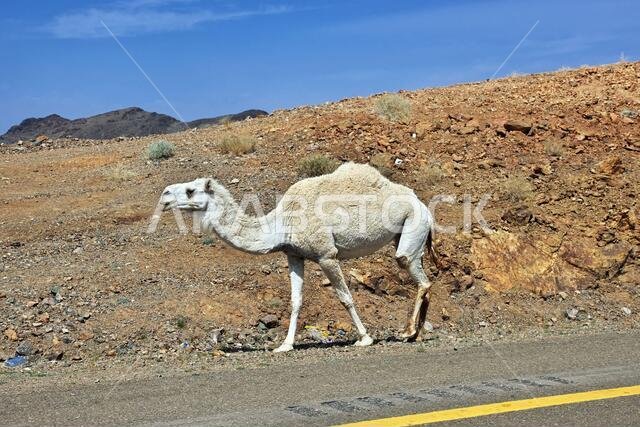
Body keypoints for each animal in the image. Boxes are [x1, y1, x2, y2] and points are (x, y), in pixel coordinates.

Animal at [159, 162, 438, 352]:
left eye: (190, 190)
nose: (164, 195)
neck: (282, 222)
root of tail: (422, 204)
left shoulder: (326, 255)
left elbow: (345, 297)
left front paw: (365, 338)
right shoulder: (294, 255)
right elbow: (295, 301)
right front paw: (285, 345)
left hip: (413, 224)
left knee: (415, 272)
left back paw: (408, 332)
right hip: (406, 234)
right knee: (424, 278)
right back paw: (417, 333)